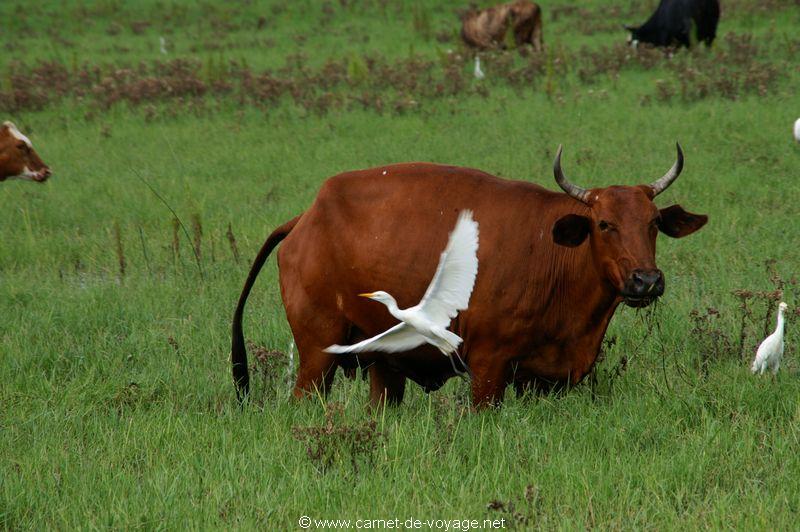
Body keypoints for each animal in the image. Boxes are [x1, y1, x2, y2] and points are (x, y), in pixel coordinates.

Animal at [231, 144, 708, 408]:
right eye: (604, 224)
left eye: (652, 223)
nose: (646, 281)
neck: (554, 254)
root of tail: (307, 218)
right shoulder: (488, 369)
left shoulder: (541, 381)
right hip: (317, 357)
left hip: (382, 366)